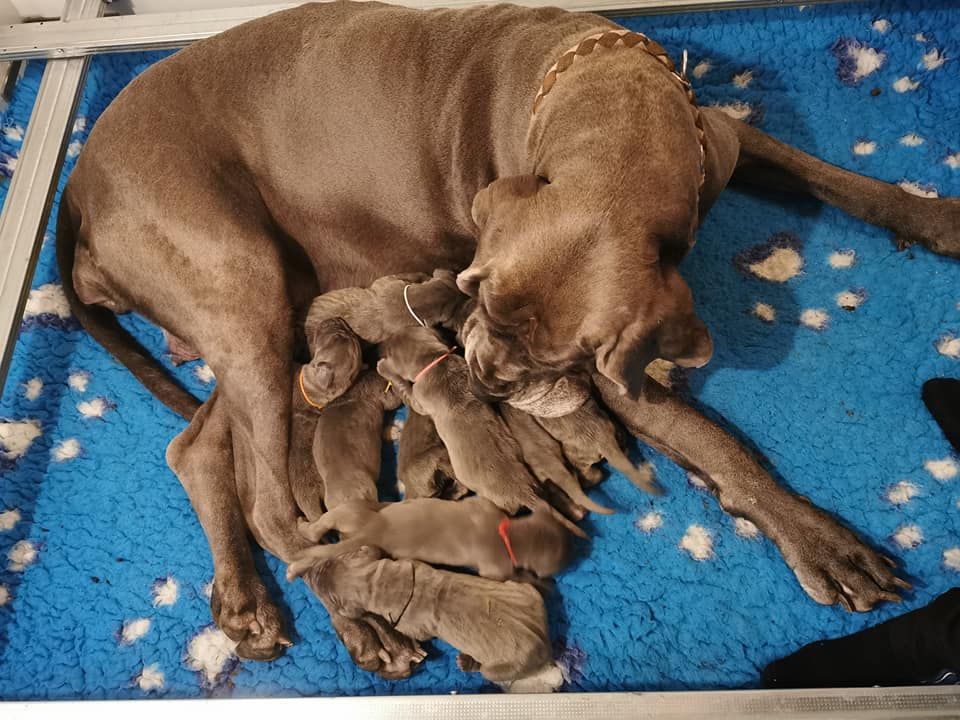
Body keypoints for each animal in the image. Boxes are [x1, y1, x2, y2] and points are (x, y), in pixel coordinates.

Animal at [56, 1, 956, 676]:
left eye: (552, 355)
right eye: (475, 299)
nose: (485, 379)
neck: (604, 102)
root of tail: (79, 183)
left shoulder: (724, 142)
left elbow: (830, 174)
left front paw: (933, 215)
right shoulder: (621, 368)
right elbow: (716, 441)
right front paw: (820, 539)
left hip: (266, 305)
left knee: (204, 447)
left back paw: (246, 600)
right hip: (242, 281)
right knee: (271, 503)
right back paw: (360, 619)